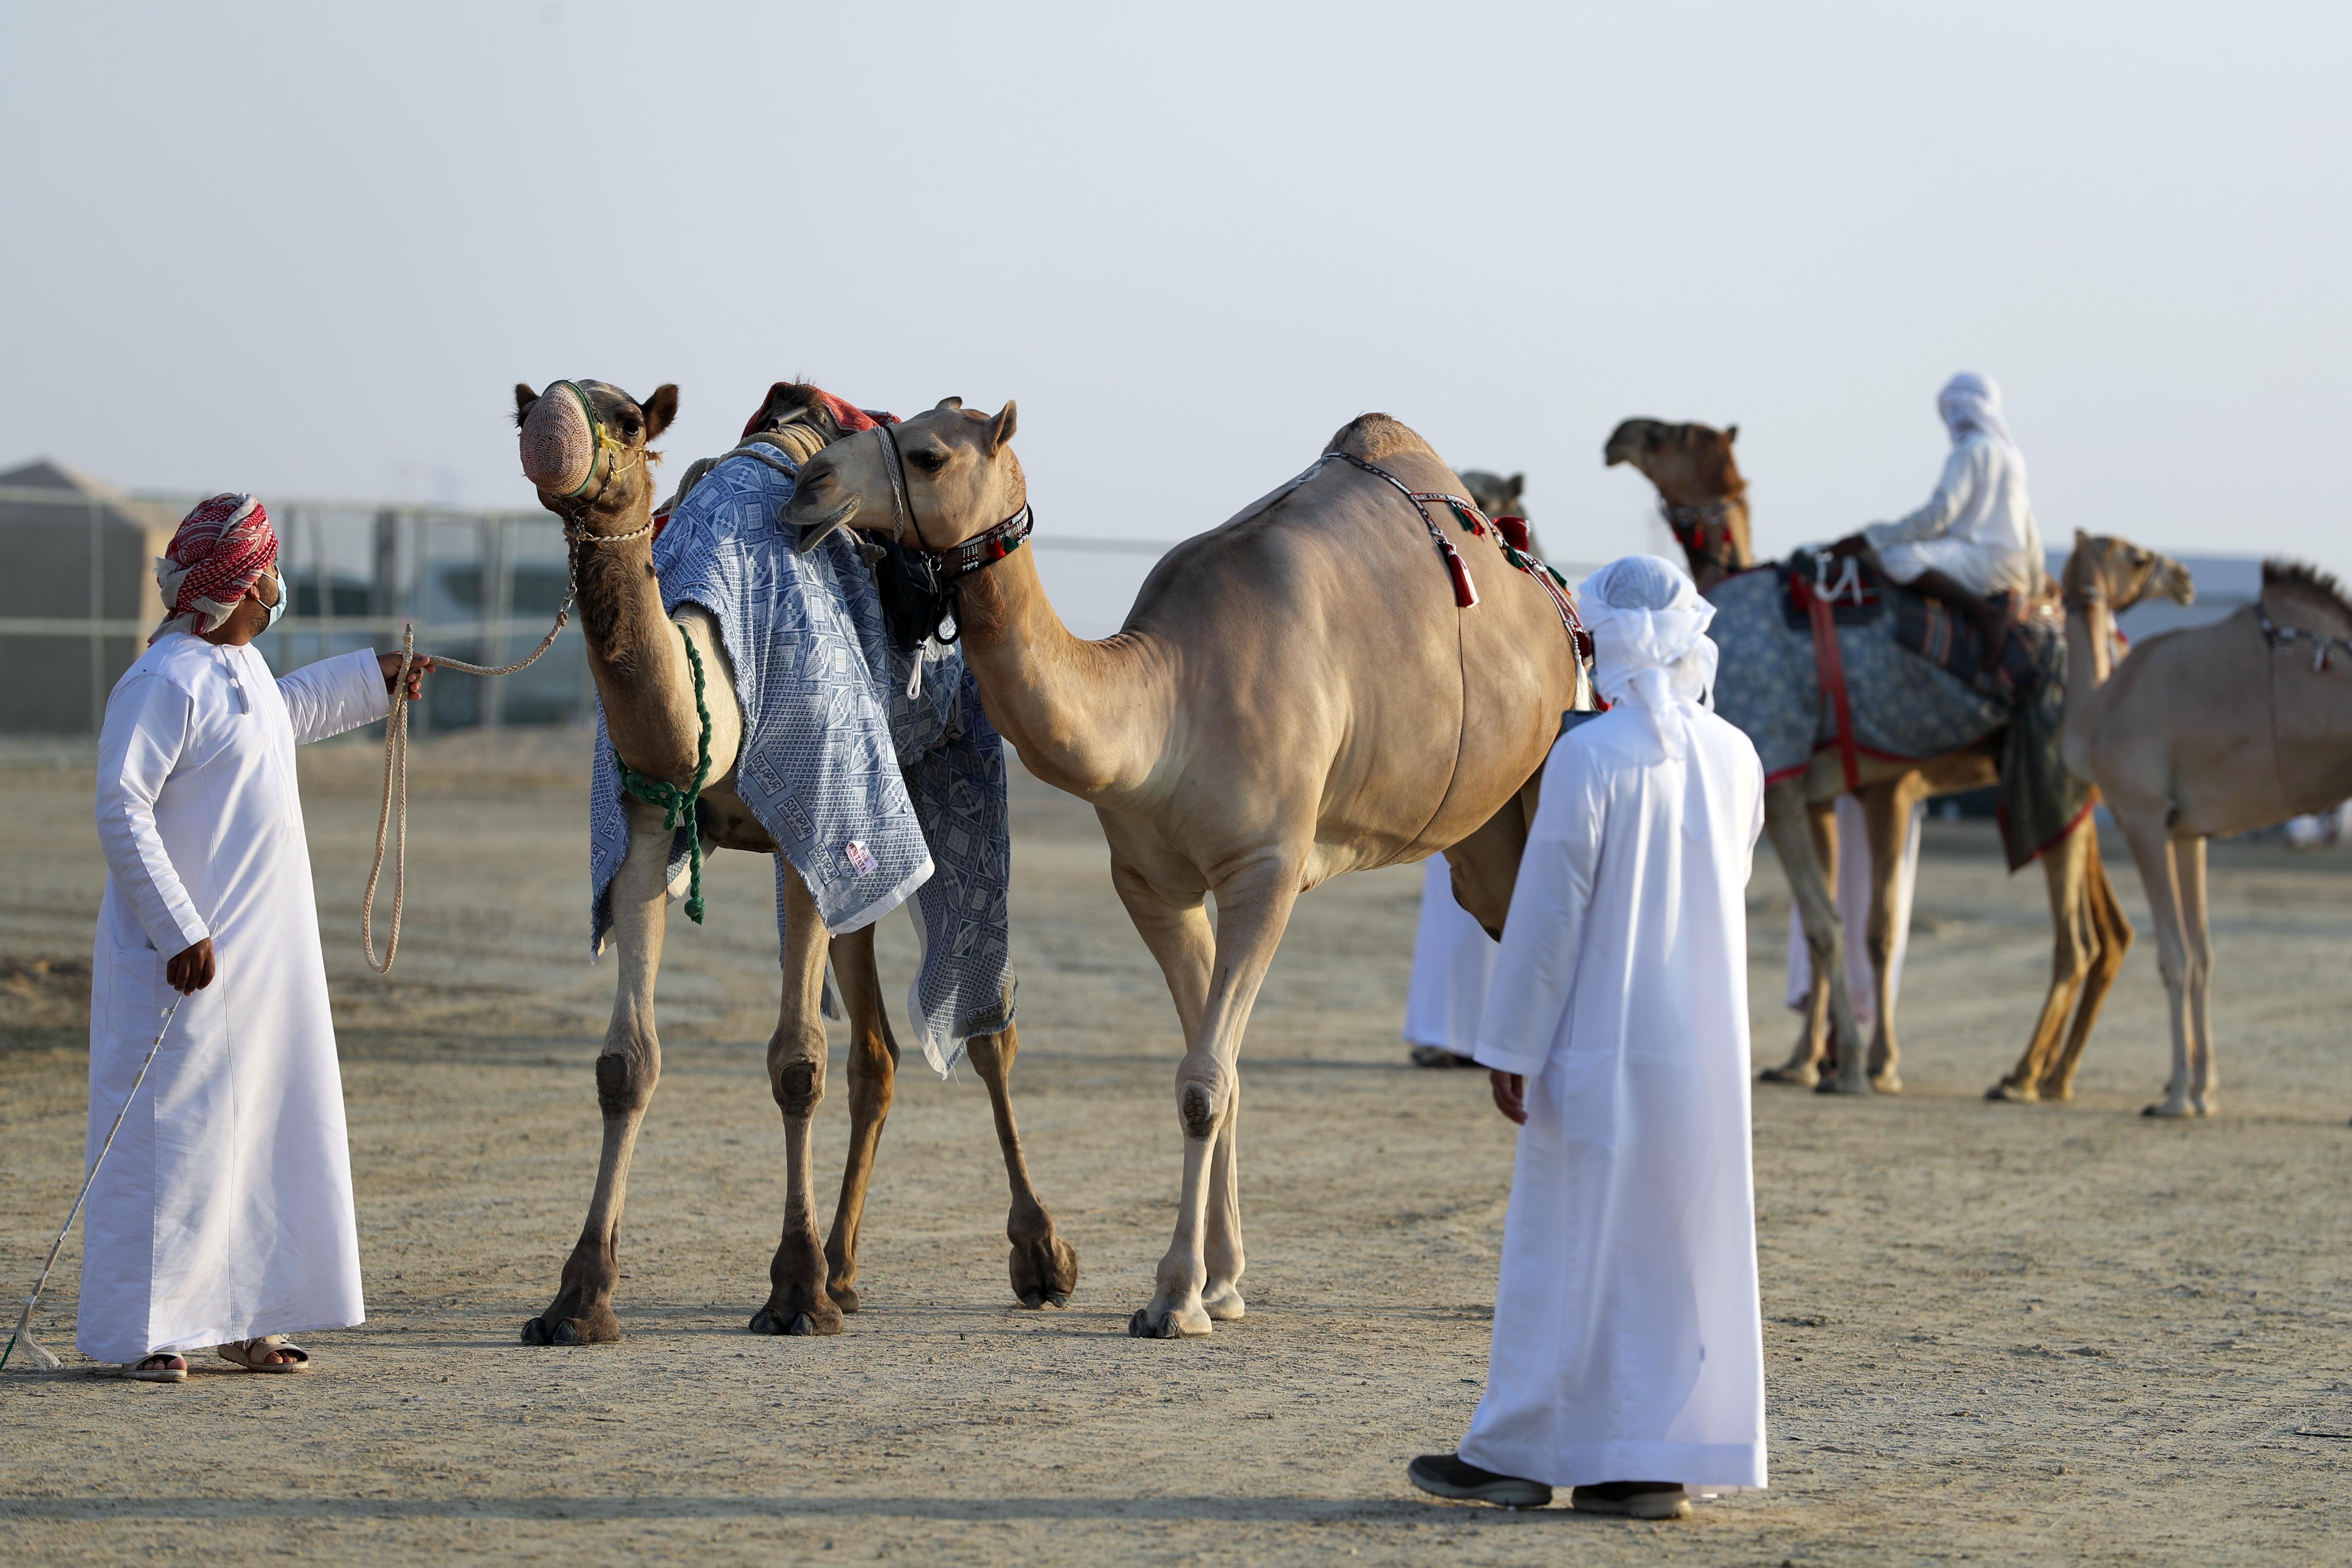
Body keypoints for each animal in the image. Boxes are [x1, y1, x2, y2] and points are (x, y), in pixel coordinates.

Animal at [515, 383, 1077, 1354]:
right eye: (532, 405)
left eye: (624, 419)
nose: (552, 431)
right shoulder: (646, 819)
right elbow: (626, 1064)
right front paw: (578, 1299)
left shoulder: (815, 810)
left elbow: (796, 1064)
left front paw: (794, 1293)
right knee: (878, 1054)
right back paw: (848, 1268)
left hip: (948, 770)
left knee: (985, 1026)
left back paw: (1039, 1258)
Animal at [781, 402, 1590, 1335]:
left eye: (928, 454)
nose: (809, 486)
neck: (1165, 704)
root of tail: (1554, 601)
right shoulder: (1153, 884)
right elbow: (1217, 1076)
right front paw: (1223, 1283)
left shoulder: (1265, 869)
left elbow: (1204, 1081)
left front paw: (1174, 1298)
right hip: (1485, 839)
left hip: (1551, 765)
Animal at [1608, 420, 2145, 1105]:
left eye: (1672, 435)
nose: (1618, 436)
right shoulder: (1827, 791)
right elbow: (1850, 924)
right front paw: (1816, 1062)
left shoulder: (1802, 781)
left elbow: (1834, 924)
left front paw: (1858, 1067)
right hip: (2075, 796)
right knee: (2108, 934)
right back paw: (2053, 1074)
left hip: (2051, 776)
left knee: (2077, 940)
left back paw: (2027, 1076)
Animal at [2060, 536, 2333, 1114]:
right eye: (2137, 558)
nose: (2185, 579)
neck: (2097, 712)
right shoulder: (2188, 832)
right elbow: (2203, 954)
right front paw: (2204, 1088)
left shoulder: (2143, 817)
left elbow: (2174, 956)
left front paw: (2178, 1096)